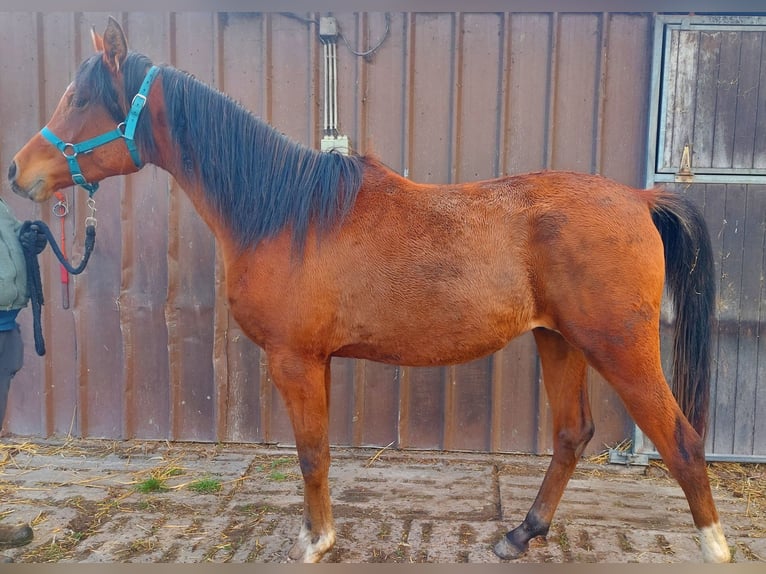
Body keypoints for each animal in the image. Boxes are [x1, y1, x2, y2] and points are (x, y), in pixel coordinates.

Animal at [8, 17, 731, 563]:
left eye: (80, 99)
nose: (18, 172)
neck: (284, 213)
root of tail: (638, 199)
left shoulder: (295, 361)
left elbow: (309, 455)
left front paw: (315, 542)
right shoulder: (316, 362)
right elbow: (320, 453)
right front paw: (319, 533)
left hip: (620, 347)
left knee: (683, 441)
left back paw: (715, 547)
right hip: (560, 342)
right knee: (572, 435)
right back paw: (521, 534)